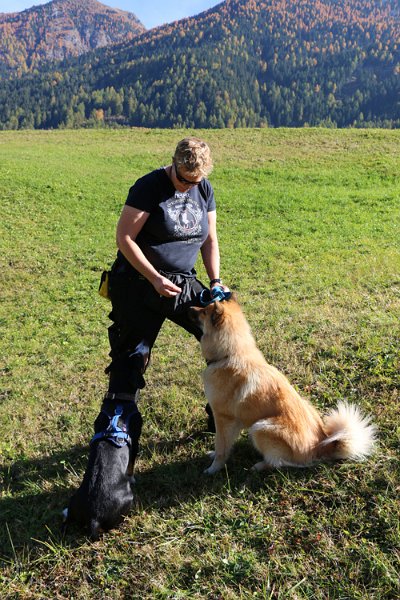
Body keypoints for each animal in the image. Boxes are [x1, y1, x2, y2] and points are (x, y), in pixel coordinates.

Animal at [63, 394, 143, 540]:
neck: (119, 404)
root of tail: (93, 518)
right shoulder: (135, 442)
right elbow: (131, 465)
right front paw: (132, 478)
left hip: (74, 500)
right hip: (128, 499)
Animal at [189, 296, 376, 474]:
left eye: (204, 311)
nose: (189, 307)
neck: (231, 353)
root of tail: (320, 446)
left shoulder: (223, 417)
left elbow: (221, 446)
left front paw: (213, 468)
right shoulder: (233, 421)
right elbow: (224, 445)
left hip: (260, 427)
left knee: (280, 463)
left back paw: (260, 466)